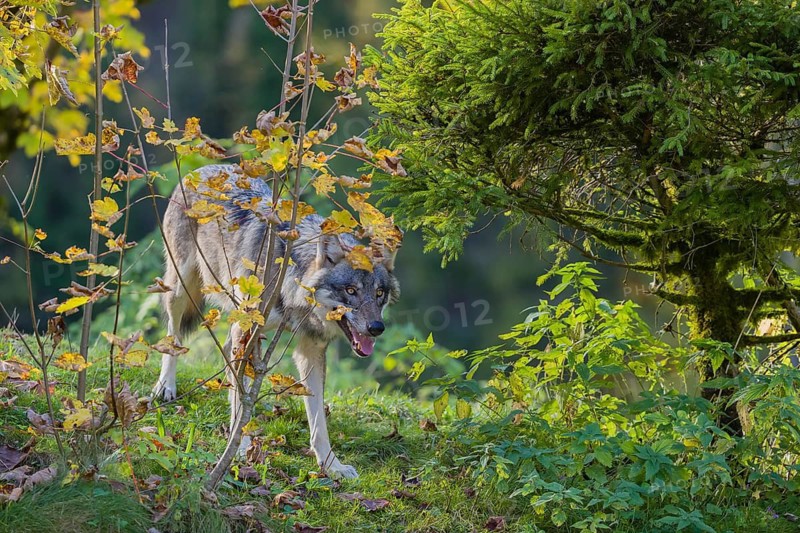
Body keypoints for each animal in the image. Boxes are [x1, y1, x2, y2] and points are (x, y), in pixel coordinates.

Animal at [152, 164, 401, 479]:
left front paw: (331, 465)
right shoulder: (247, 327)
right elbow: (243, 401)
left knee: (229, 355)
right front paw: (241, 450)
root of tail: (206, 168)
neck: (291, 280)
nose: (376, 328)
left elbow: (318, 419)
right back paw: (165, 387)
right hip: (181, 289)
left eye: (379, 293)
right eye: (351, 291)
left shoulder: (310, 349)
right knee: (173, 335)